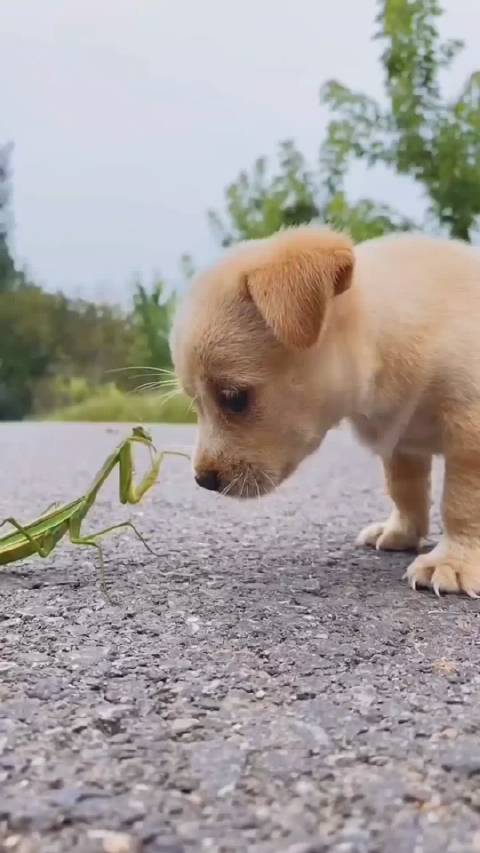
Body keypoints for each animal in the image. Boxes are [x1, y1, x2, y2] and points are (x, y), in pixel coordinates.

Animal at [170, 226, 480, 600]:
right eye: (195, 402)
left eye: (234, 398)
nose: (203, 480)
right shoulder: (402, 441)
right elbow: (405, 490)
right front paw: (403, 532)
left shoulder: (469, 433)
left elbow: (461, 502)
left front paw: (453, 562)